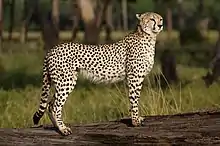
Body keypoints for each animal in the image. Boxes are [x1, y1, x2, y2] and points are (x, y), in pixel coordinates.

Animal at [33, 12, 163, 136]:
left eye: (160, 19)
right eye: (152, 19)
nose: (160, 25)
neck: (148, 36)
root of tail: (52, 49)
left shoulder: (138, 77)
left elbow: (136, 97)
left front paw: (138, 119)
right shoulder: (134, 77)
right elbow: (134, 98)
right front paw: (135, 121)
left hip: (61, 81)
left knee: (50, 105)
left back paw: (57, 127)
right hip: (66, 81)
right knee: (55, 106)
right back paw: (63, 129)